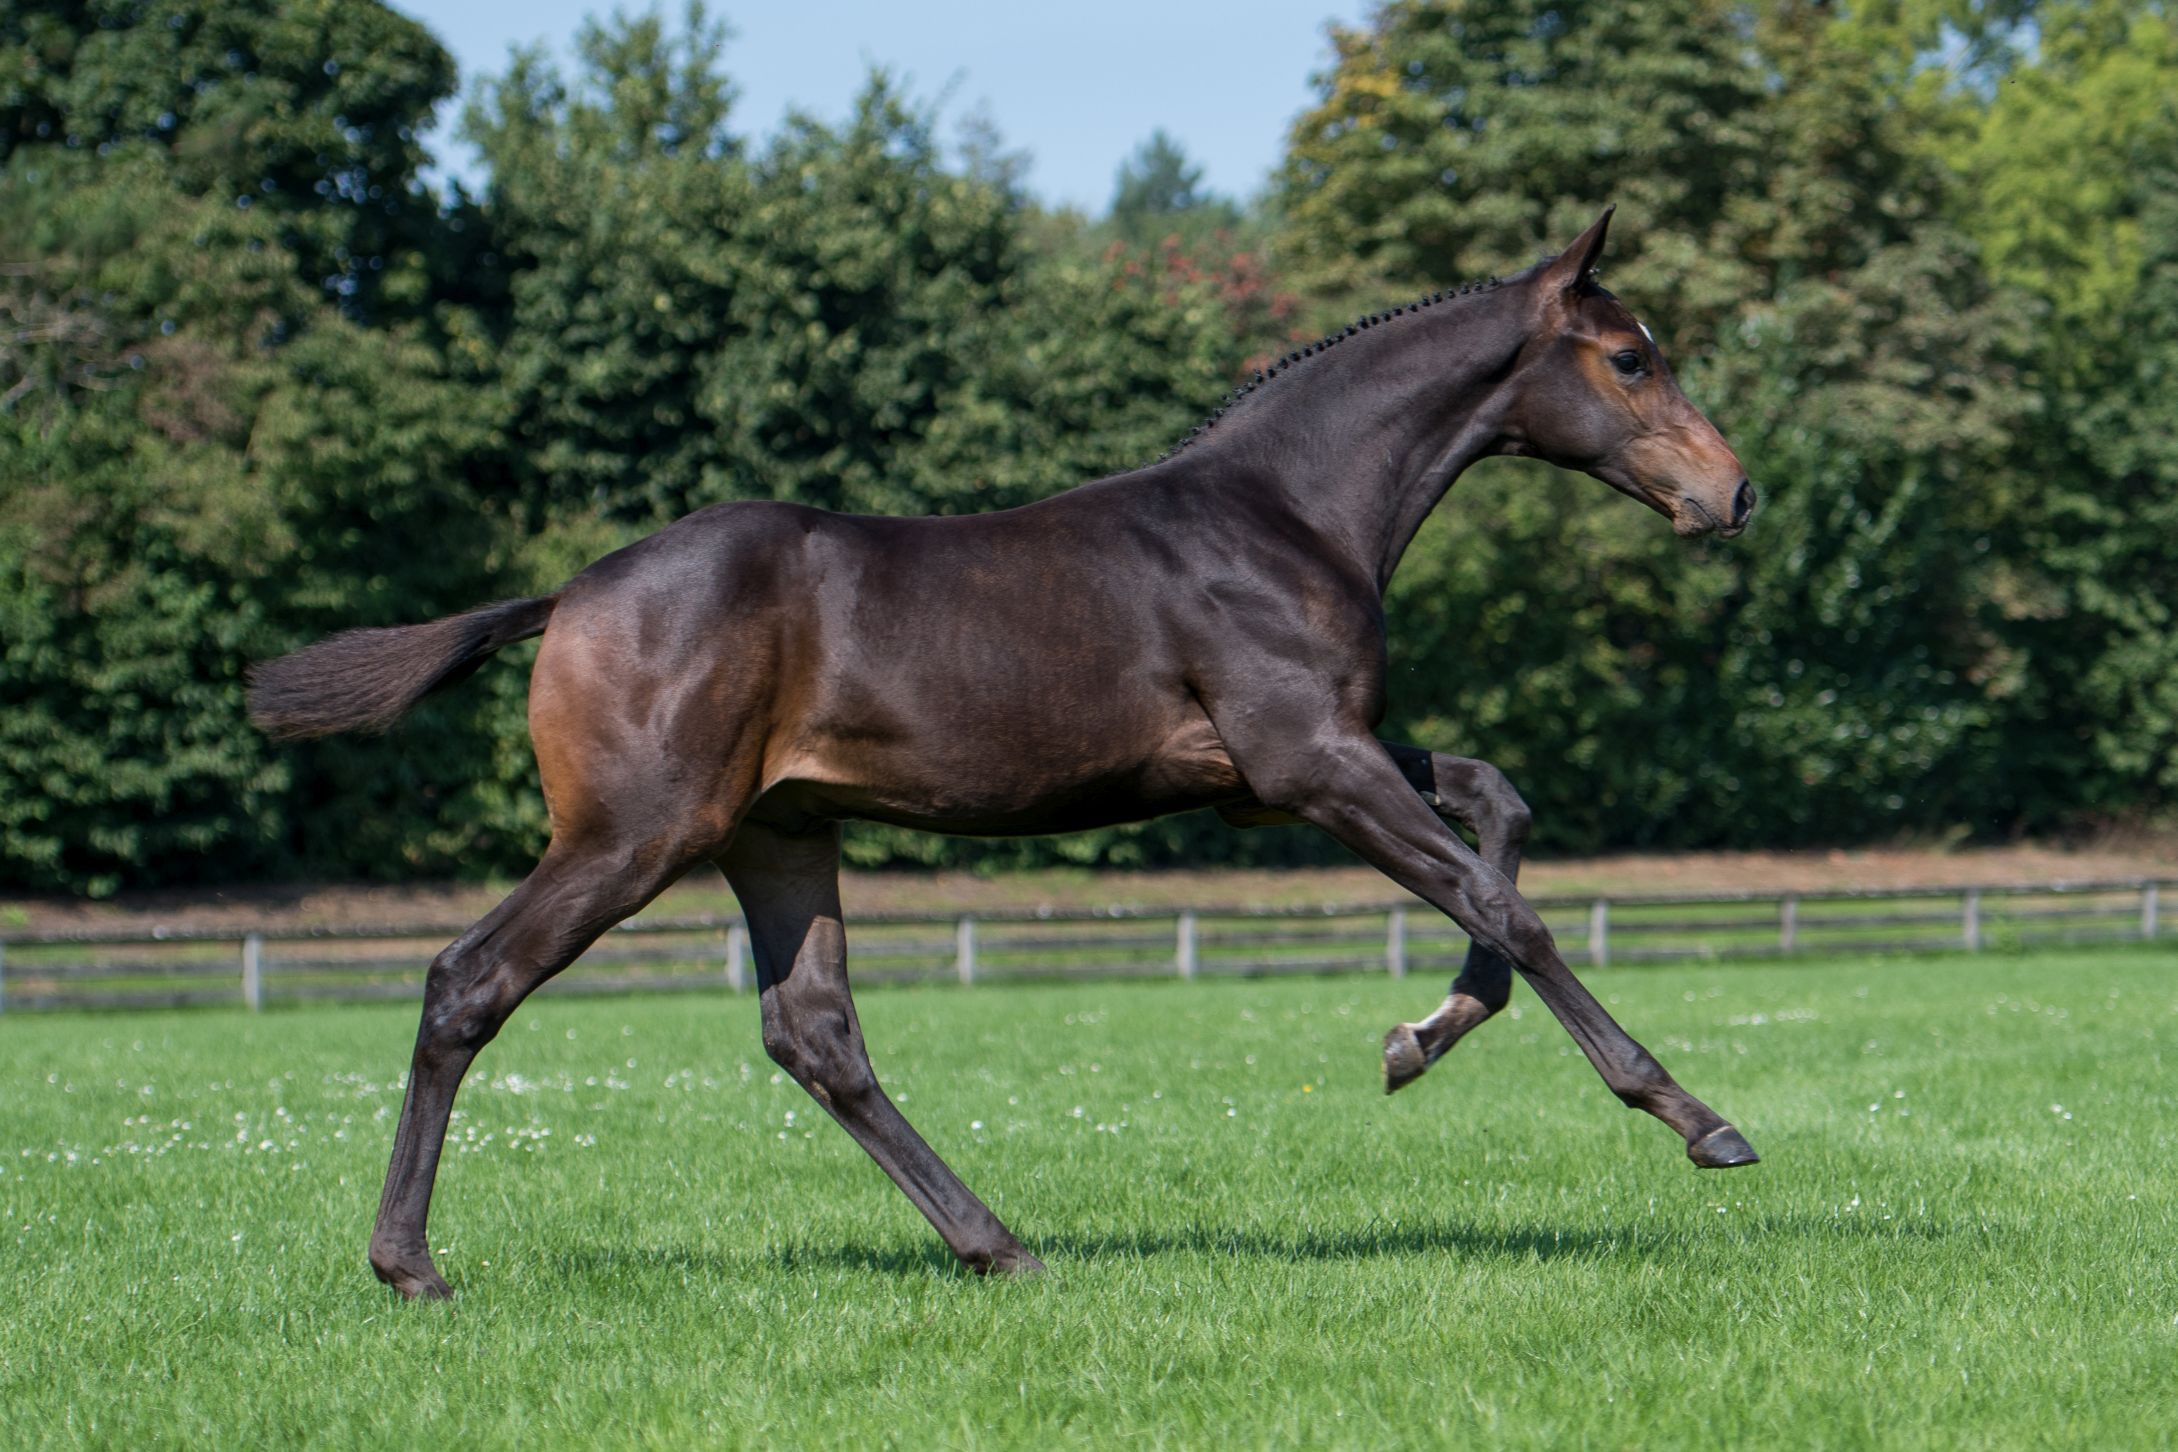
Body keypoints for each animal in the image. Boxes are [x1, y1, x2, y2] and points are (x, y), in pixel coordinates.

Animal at [249, 207, 1759, 1300]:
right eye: (1630, 357)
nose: (1732, 493)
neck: (1280, 511)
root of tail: (567, 595)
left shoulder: (1274, 778)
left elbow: (1499, 811)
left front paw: (1415, 1038)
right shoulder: (1306, 766)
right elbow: (1502, 897)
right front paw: (1694, 1117)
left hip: (777, 833)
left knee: (815, 1036)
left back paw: (998, 1245)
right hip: (634, 835)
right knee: (469, 981)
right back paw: (410, 1267)